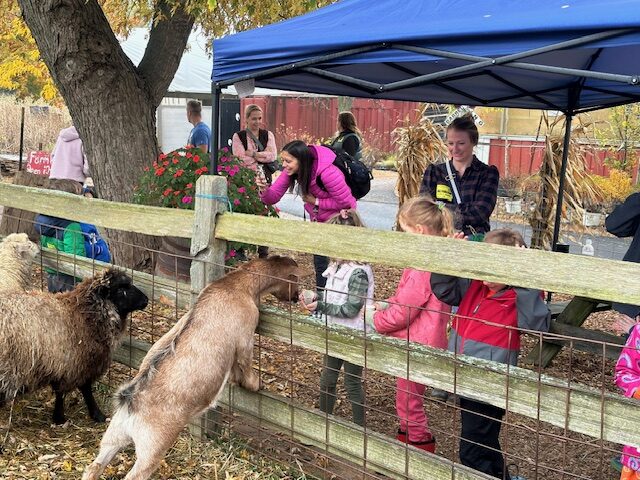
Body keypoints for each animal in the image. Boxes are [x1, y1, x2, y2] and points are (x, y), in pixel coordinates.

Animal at [0, 270, 148, 424]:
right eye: (120, 289)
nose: (146, 300)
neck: (86, 315)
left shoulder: (64, 364)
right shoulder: (76, 363)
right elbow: (79, 390)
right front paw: (67, 417)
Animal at [84, 256, 302, 478]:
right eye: (296, 280)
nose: (296, 297)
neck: (237, 285)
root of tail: (130, 400)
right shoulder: (245, 335)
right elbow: (245, 362)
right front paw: (255, 385)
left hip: (114, 435)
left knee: (94, 467)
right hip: (151, 449)